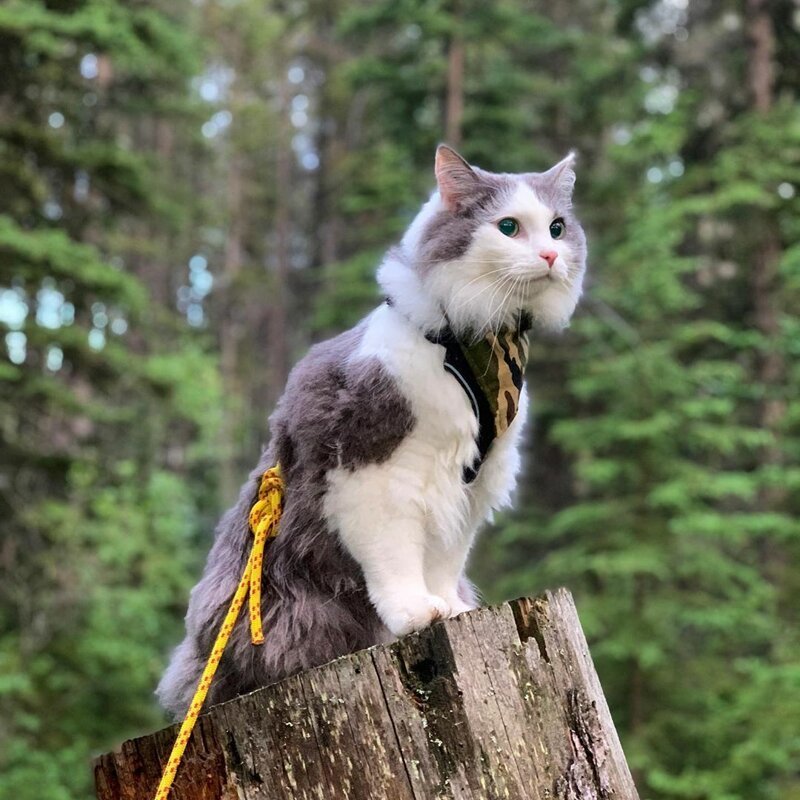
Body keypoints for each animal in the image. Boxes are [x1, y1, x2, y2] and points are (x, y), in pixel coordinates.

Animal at [159, 144, 592, 720]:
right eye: (508, 227)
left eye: (558, 228)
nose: (548, 256)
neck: (474, 345)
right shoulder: (375, 474)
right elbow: (396, 558)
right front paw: (416, 614)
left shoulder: (472, 485)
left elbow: (445, 559)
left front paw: (450, 607)